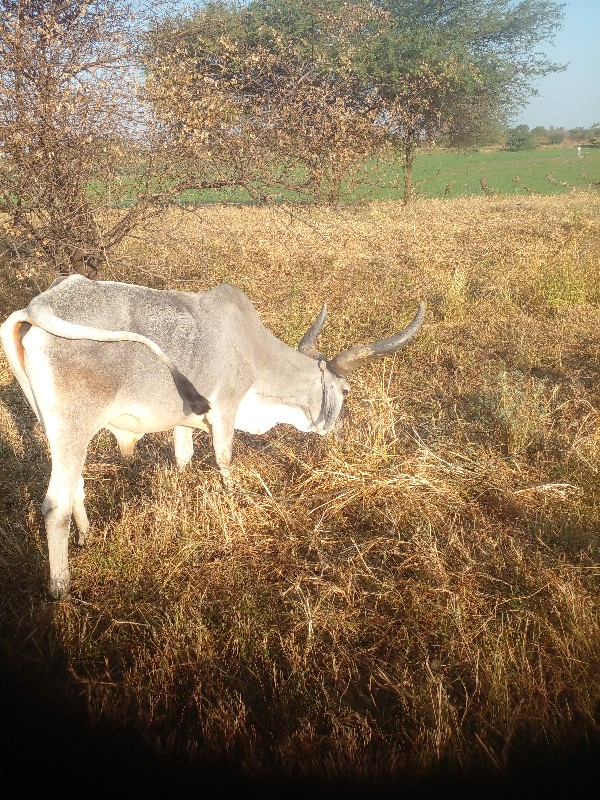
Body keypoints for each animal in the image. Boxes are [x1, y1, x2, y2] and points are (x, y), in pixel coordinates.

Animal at [0, 276, 424, 592]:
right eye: (346, 391)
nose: (334, 429)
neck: (251, 349)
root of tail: (39, 305)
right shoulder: (225, 410)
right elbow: (224, 461)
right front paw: (235, 507)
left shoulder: (183, 421)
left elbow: (184, 458)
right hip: (74, 426)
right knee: (55, 506)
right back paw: (60, 587)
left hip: (58, 429)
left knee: (76, 487)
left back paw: (87, 537)